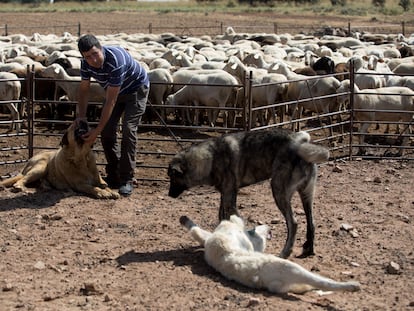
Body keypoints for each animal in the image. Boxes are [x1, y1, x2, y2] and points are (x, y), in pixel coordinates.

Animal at [168, 128, 330, 260]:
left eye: (172, 177)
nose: (169, 195)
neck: (211, 157)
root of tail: (301, 144)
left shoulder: (230, 198)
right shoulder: (225, 194)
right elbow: (222, 218)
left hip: (278, 191)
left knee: (294, 223)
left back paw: (285, 252)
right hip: (306, 195)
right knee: (311, 223)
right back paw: (309, 249)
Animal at [180, 216, 360, 296]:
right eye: (251, 230)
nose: (268, 227)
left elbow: (198, 231)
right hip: (291, 268)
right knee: (320, 281)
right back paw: (353, 285)